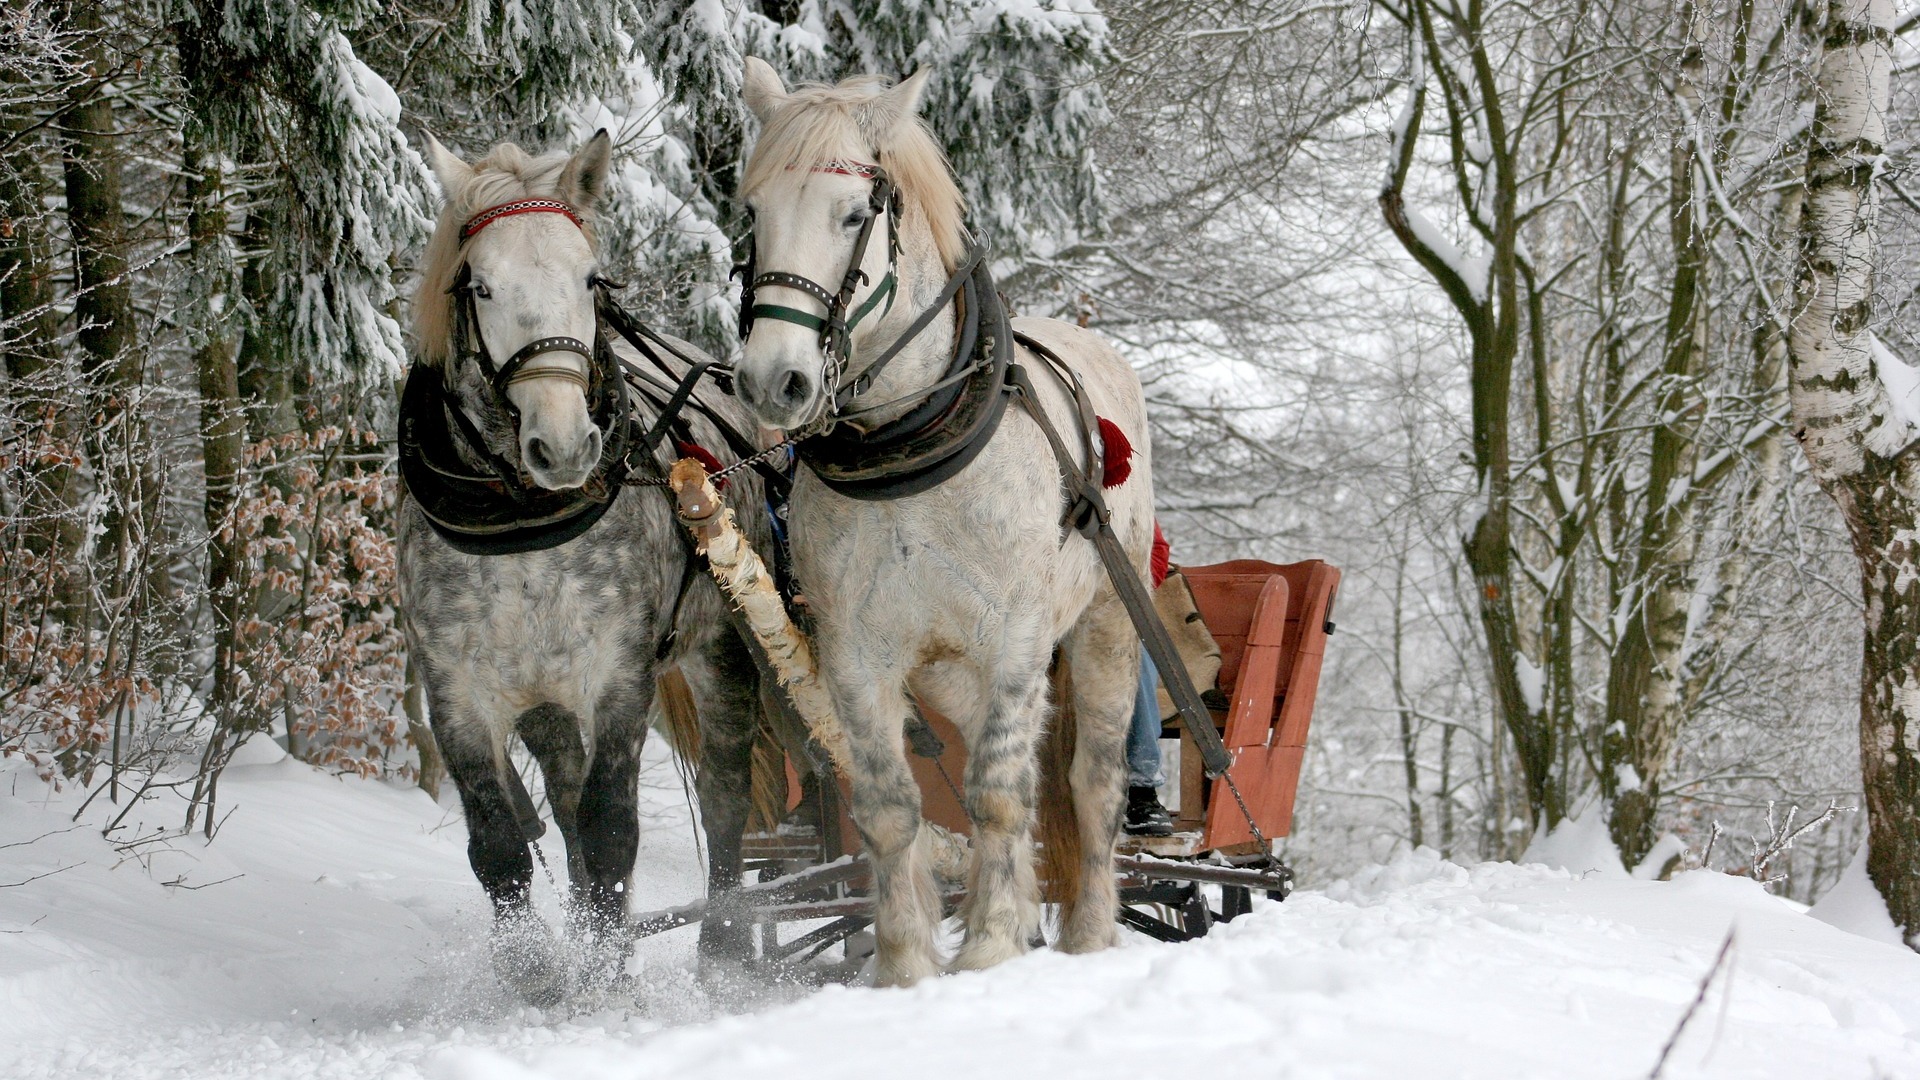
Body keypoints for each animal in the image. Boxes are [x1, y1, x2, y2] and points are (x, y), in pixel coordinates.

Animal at [733, 61, 1152, 983]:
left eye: (854, 215)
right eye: (753, 213)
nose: (773, 381)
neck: (910, 446)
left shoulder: (1018, 639)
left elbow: (998, 793)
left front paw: (990, 947)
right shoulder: (856, 654)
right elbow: (892, 806)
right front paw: (906, 965)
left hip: (1105, 624)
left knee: (1088, 781)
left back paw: (1089, 933)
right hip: (951, 671)